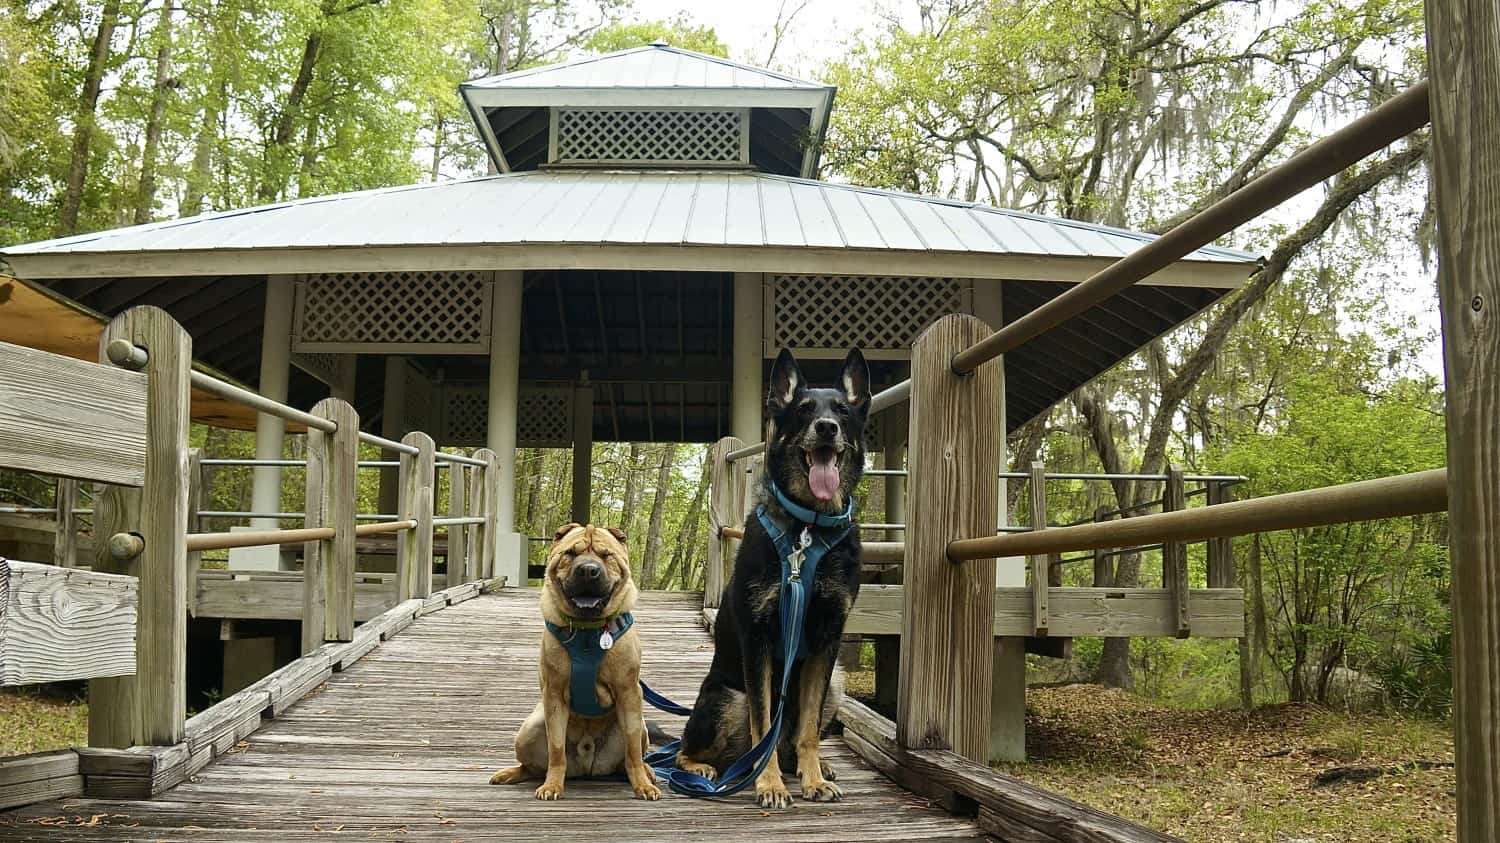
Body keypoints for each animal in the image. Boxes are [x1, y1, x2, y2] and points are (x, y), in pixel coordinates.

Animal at [489, 522, 660, 798]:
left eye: (606, 555)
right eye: (570, 553)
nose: (588, 570)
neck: (588, 632)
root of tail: (587, 764)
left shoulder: (629, 693)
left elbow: (633, 751)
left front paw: (642, 785)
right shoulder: (554, 694)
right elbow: (556, 749)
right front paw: (552, 785)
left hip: (640, 725)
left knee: (629, 758)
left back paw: (648, 771)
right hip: (529, 730)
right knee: (532, 766)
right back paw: (511, 774)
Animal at [678, 345, 870, 804]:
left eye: (842, 410)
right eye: (803, 410)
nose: (826, 427)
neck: (807, 526)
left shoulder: (827, 642)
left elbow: (808, 731)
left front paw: (814, 778)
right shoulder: (759, 640)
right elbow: (763, 721)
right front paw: (769, 785)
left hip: (837, 684)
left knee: (792, 738)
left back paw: (813, 767)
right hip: (727, 698)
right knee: (685, 749)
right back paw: (708, 769)